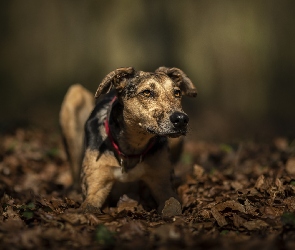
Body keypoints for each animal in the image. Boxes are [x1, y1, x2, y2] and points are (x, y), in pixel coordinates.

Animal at [59, 67, 199, 216]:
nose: (181, 119)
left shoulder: (164, 185)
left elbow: (172, 206)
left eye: (177, 93)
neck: (133, 146)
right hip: (75, 95)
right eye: (147, 92)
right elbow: (88, 207)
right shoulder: (95, 189)